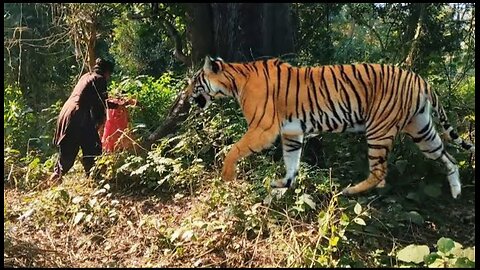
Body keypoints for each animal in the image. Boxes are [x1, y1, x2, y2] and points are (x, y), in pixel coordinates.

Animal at [186, 55, 474, 198]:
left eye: (194, 82)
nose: (185, 96)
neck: (235, 81)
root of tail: (420, 79)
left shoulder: (263, 128)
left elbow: (233, 150)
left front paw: (227, 178)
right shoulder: (292, 132)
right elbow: (291, 162)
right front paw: (283, 185)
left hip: (379, 129)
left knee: (380, 172)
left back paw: (350, 190)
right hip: (422, 131)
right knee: (449, 158)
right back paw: (456, 191)